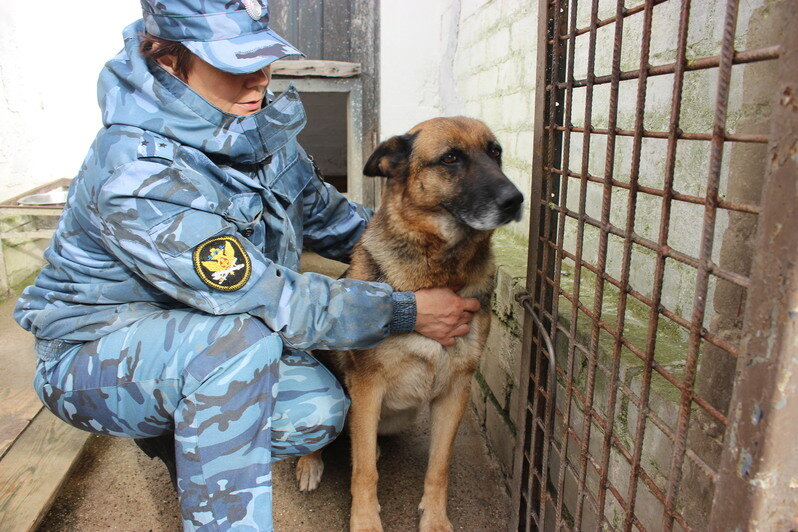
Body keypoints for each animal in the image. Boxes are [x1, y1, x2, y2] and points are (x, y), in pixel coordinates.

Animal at [296, 117, 528, 532]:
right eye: (450, 157)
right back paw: (310, 462)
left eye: (495, 152)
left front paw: (435, 519)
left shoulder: (456, 389)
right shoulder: (368, 386)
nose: (515, 200)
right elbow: (364, 472)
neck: (441, 268)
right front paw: (365, 522)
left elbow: (439, 466)